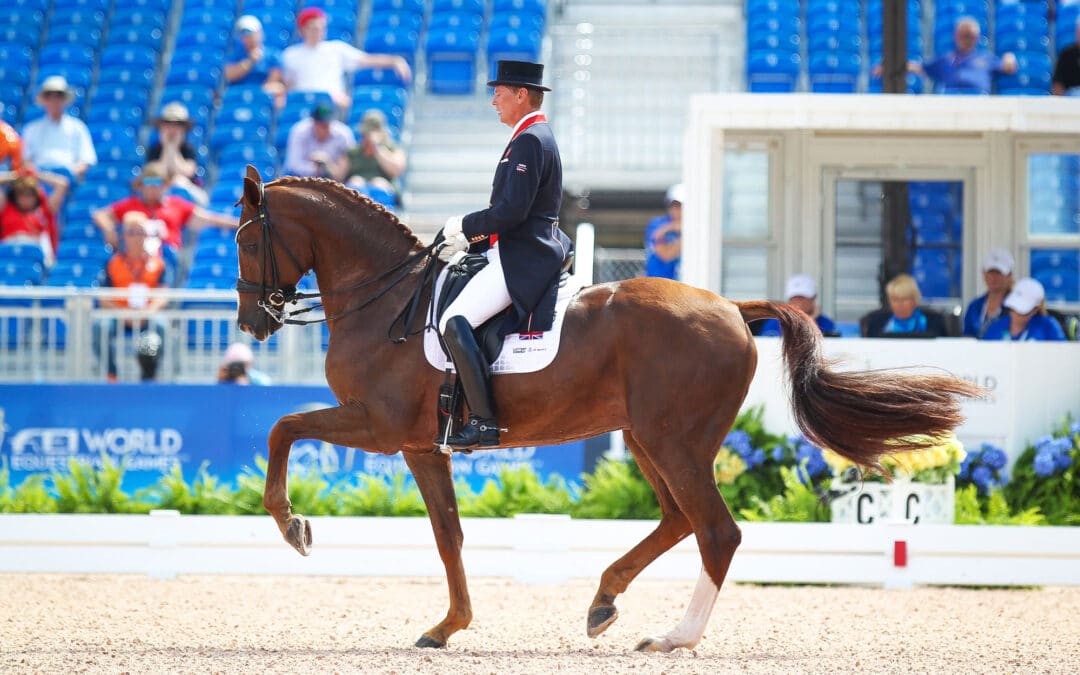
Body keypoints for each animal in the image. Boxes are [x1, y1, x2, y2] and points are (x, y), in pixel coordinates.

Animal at [232, 167, 984, 652]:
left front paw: (293, 525)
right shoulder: (420, 444)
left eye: (242, 239)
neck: (385, 298)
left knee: (716, 531)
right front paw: (447, 627)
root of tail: (731, 307)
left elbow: (281, 427)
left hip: (675, 442)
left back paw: (674, 636)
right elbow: (449, 536)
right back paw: (604, 600)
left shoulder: (381, 424)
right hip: (650, 439)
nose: (251, 322)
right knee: (680, 519)